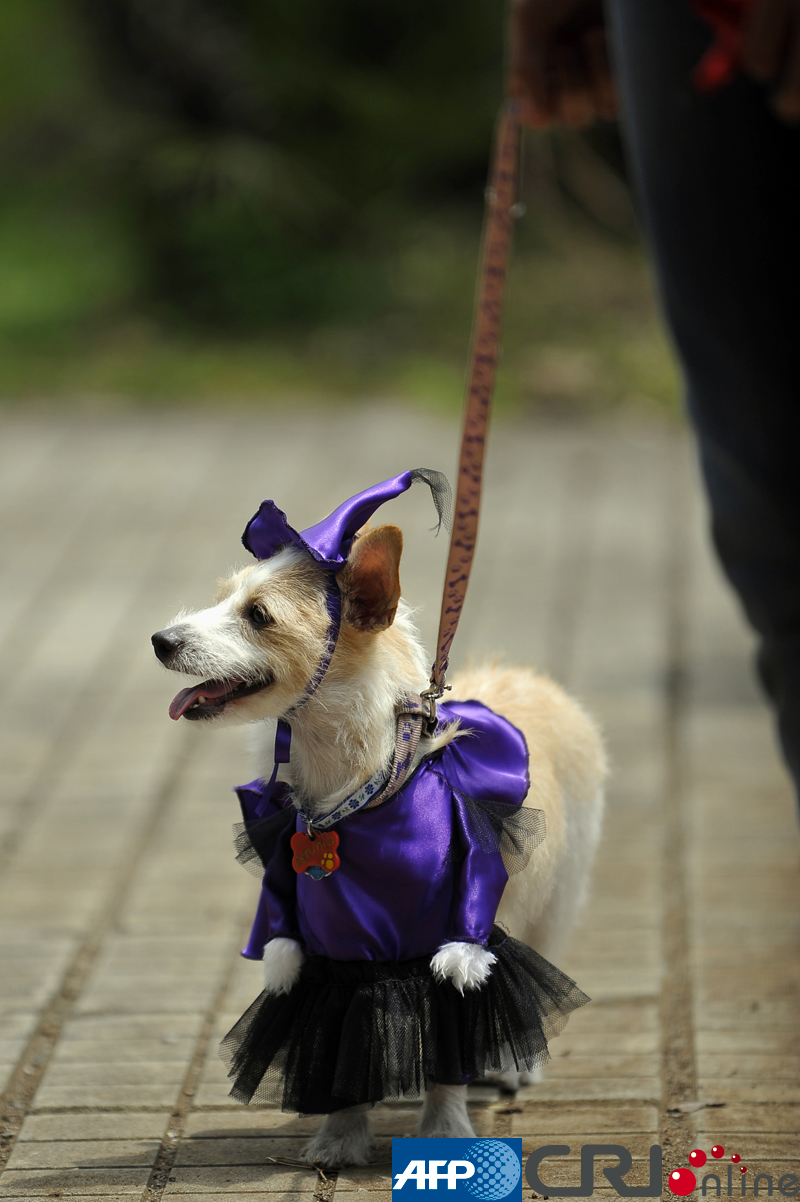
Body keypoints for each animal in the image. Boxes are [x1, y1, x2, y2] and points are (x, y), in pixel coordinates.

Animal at [152, 519, 605, 1163]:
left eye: (259, 614)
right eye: (222, 596)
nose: (159, 641)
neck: (361, 791)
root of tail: (529, 677)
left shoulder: (448, 938)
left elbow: (451, 1040)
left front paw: (444, 1133)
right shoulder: (332, 950)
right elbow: (339, 1040)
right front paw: (340, 1139)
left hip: (557, 895)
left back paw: (516, 1064)